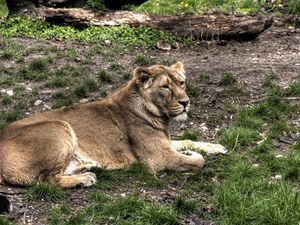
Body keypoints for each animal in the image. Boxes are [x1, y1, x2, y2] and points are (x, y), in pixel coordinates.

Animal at [0, 61, 226, 188]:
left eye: (181, 83)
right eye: (165, 87)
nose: (186, 102)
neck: (161, 117)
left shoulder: (166, 143)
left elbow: (189, 140)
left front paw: (216, 147)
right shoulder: (158, 158)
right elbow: (198, 161)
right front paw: (193, 155)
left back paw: (89, 165)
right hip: (58, 126)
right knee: (47, 180)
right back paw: (85, 178)